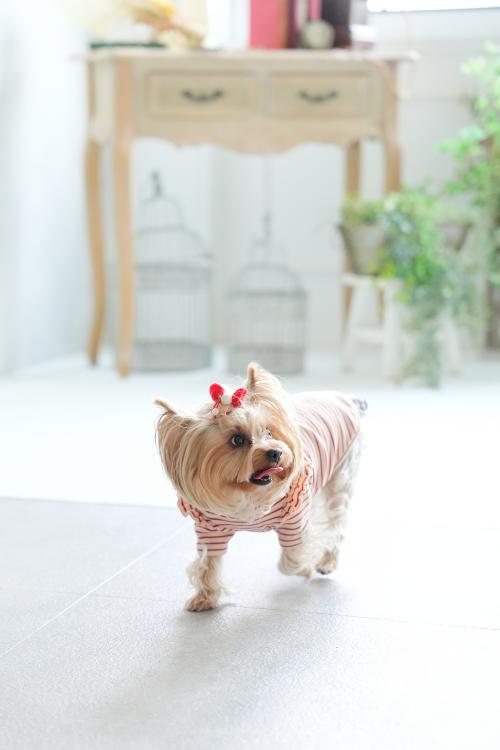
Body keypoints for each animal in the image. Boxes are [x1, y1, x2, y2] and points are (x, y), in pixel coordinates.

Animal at [155, 362, 364, 612]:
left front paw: (304, 567)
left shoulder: (294, 515)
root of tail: (345, 398)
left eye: (269, 432)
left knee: (336, 523)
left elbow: (291, 557)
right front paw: (204, 598)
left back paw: (327, 562)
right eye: (237, 440)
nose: (276, 453)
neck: (246, 493)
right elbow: (208, 562)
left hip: (340, 475)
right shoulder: (210, 527)